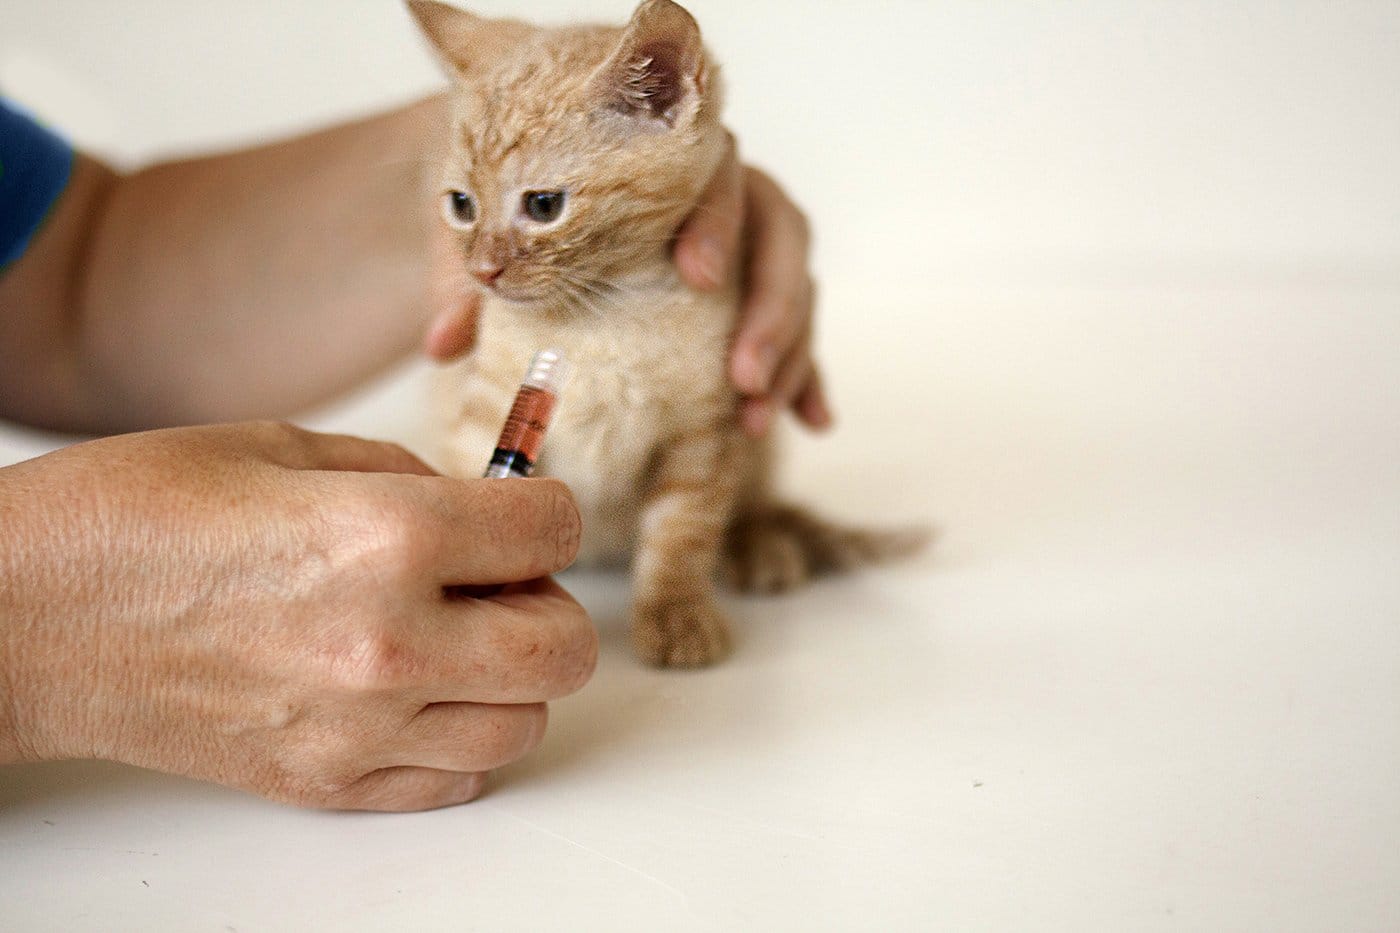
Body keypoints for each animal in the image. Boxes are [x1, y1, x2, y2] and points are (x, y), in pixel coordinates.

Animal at [414, 1, 918, 669]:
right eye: (462, 205)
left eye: (543, 205)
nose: (482, 272)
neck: (605, 320)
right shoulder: (481, 409)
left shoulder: (705, 429)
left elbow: (681, 527)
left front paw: (676, 612)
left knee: (755, 500)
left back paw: (759, 543)